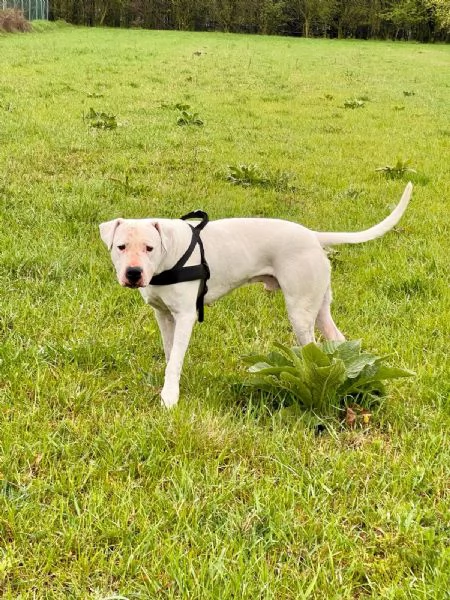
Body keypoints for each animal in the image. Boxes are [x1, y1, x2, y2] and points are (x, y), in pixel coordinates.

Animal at [100, 183, 414, 408]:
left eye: (149, 247)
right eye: (121, 246)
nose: (133, 273)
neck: (168, 256)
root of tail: (313, 235)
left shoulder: (186, 316)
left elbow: (175, 358)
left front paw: (169, 397)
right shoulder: (164, 315)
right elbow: (169, 354)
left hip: (300, 311)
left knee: (311, 350)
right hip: (320, 305)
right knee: (336, 341)